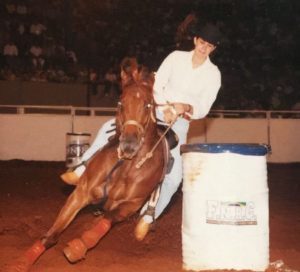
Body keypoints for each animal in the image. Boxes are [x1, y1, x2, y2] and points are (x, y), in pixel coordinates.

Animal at [8, 58, 169, 270]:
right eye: (120, 103)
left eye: (148, 105)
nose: (129, 144)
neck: (124, 167)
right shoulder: (81, 193)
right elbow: (51, 236)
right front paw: (21, 263)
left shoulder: (129, 206)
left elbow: (104, 222)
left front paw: (78, 247)